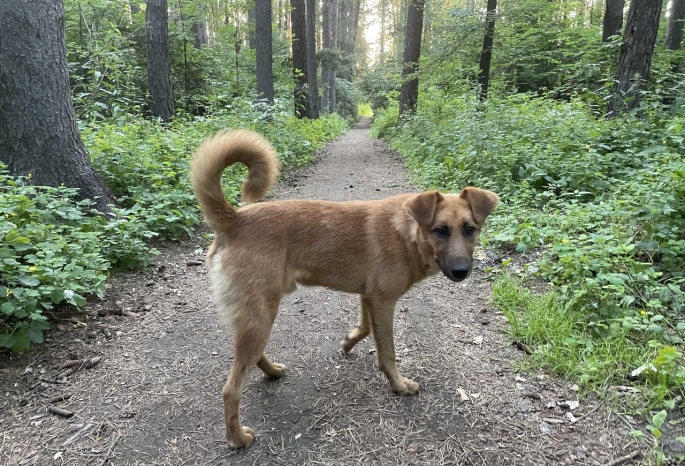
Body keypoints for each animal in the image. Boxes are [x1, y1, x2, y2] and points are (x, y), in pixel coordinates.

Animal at [190, 129, 500, 446]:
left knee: (250, 356)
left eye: (470, 230)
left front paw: (348, 343)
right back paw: (238, 438)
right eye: (440, 231)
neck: (409, 232)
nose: (462, 271)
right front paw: (399, 385)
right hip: (261, 314)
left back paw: (272, 371)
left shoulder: (369, 297)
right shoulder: (383, 301)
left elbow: (363, 328)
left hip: (256, 315)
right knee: (231, 389)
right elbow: (387, 352)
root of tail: (235, 220)